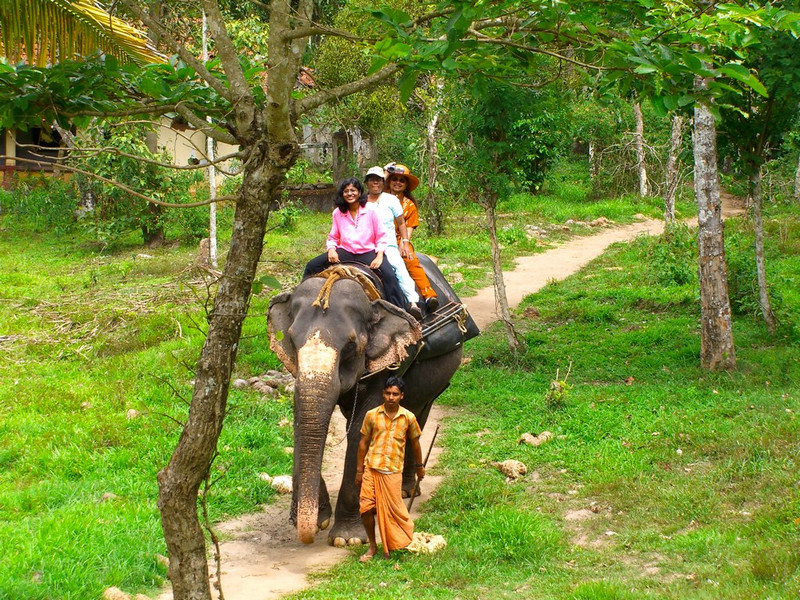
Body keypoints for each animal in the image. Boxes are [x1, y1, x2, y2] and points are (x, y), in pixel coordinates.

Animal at [268, 255, 476, 548]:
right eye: (292, 340)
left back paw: (405, 490)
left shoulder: (391, 358)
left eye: (351, 346)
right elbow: (302, 417)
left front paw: (347, 539)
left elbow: (360, 429)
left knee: (417, 416)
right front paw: (315, 519)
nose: (304, 525)